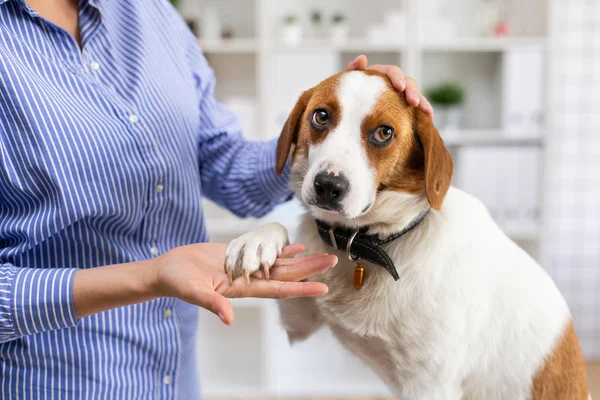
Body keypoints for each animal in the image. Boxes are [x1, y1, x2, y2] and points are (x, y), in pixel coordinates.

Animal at [223, 70, 588, 398]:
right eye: (321, 116)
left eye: (384, 132)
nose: (328, 186)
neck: (367, 242)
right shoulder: (298, 322)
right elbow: (282, 230)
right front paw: (255, 241)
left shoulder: (431, 384)